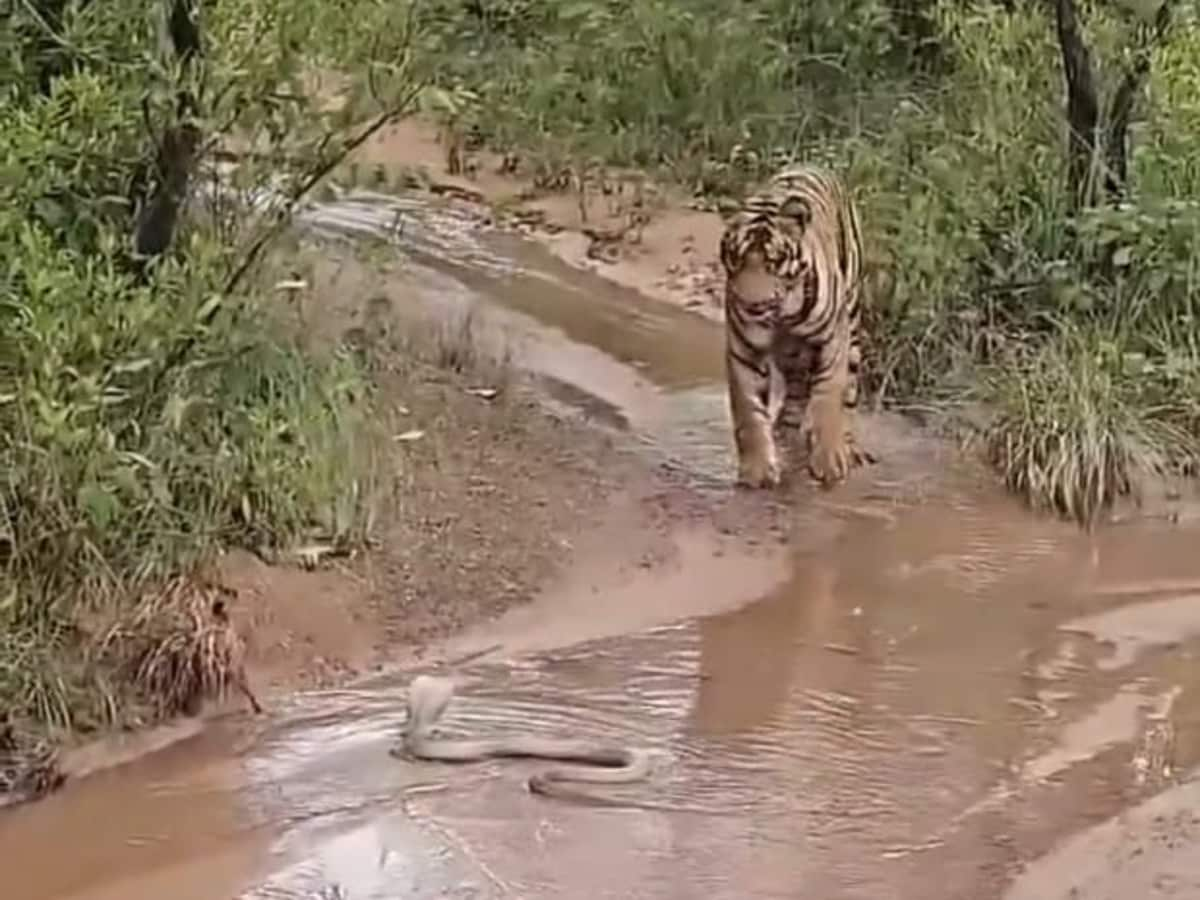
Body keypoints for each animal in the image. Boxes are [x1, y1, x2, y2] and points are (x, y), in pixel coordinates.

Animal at [715, 160, 878, 487]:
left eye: (772, 262)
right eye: (737, 258)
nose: (753, 305)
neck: (782, 314)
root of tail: (815, 165)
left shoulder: (833, 340)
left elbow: (829, 398)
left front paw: (830, 462)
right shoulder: (744, 349)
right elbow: (748, 410)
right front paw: (757, 471)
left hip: (852, 325)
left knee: (848, 393)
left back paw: (848, 446)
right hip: (790, 354)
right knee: (797, 387)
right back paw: (785, 431)